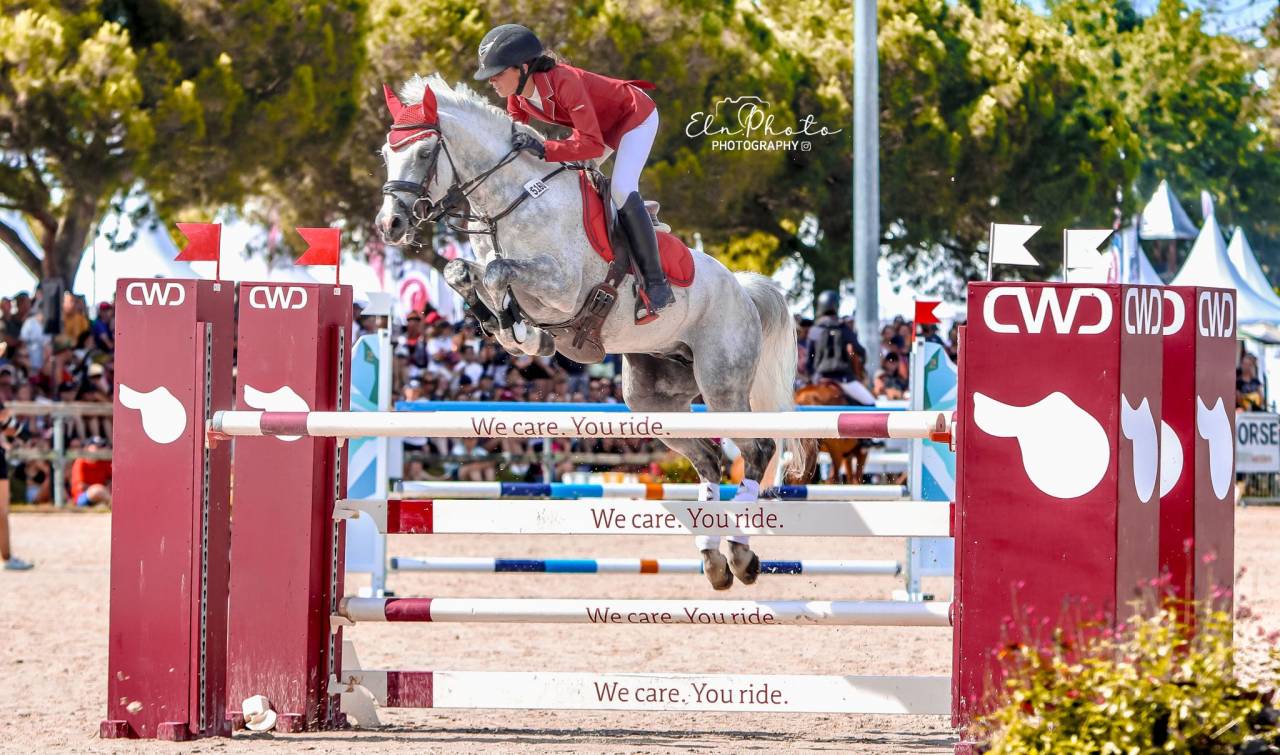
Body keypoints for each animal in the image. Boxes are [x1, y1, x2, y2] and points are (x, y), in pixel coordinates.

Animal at [374, 75, 811, 590]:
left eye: (425, 152)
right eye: (387, 152)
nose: (389, 225)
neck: (512, 202)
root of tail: (742, 289)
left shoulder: (562, 287)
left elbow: (500, 273)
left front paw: (519, 332)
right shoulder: (501, 272)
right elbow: (461, 271)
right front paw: (509, 327)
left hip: (722, 384)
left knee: (757, 449)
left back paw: (741, 556)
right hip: (653, 399)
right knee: (709, 458)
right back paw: (714, 560)